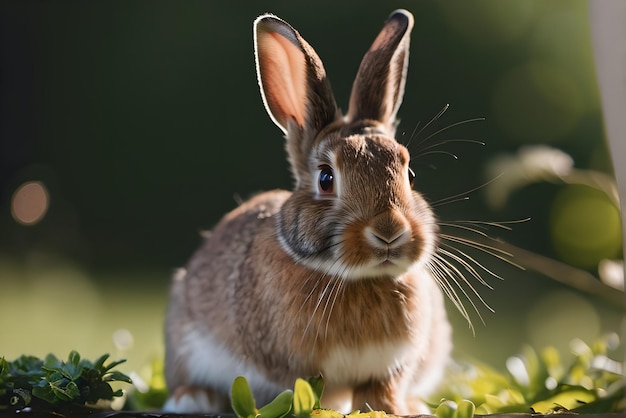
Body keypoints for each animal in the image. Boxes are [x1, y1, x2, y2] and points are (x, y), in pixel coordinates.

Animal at [162, 9, 448, 414]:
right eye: (326, 178)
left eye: (409, 174)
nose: (389, 231)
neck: (356, 277)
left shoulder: (388, 370)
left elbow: (381, 394)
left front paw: (397, 411)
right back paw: (193, 398)